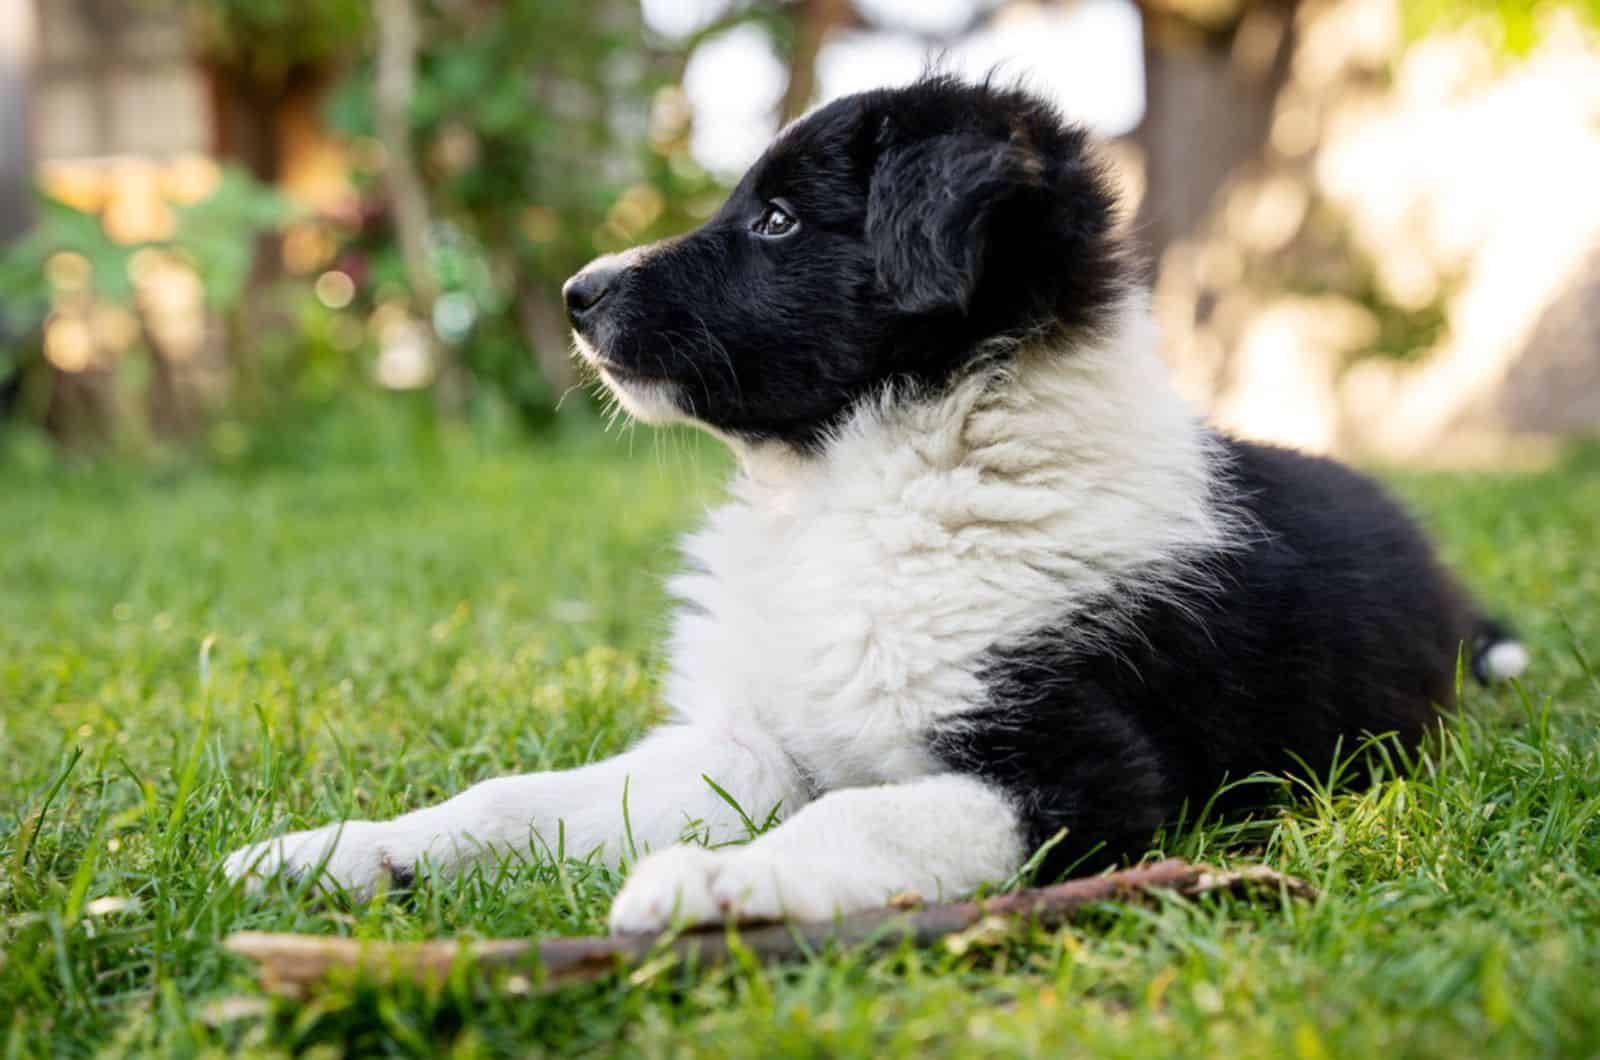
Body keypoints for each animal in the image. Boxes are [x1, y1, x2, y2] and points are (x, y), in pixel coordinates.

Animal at [222, 78, 1523, 935]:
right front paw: (345, 851)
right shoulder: (744, 744)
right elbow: (521, 798)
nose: (576, 294)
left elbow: (857, 821)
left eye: (778, 220)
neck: (854, 489)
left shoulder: (1081, 775)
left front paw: (713, 889)